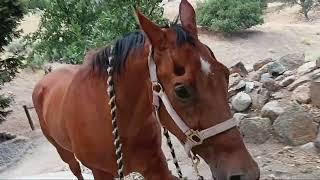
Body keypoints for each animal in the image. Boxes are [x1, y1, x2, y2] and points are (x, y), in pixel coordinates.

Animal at [31, 0, 260, 179]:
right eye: (181, 91)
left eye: (226, 74)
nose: (246, 174)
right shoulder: (100, 173)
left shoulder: (155, 167)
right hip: (65, 154)